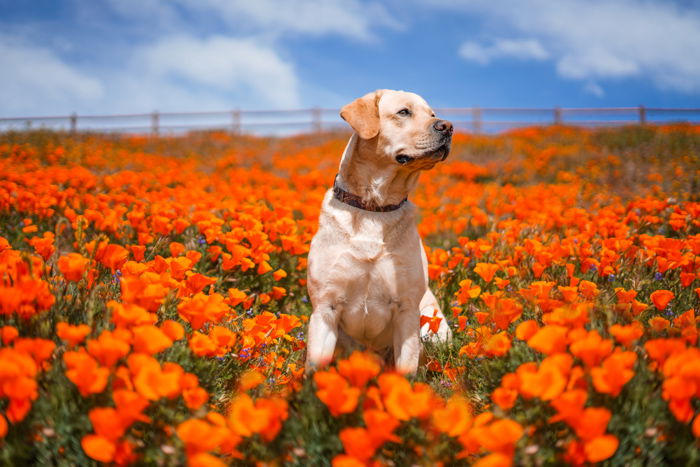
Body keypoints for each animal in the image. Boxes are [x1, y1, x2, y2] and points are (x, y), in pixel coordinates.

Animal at [306, 89, 454, 374]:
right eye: (404, 112)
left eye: (432, 114)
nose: (448, 126)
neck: (374, 208)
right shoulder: (325, 308)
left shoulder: (407, 310)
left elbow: (405, 370)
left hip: (435, 328)